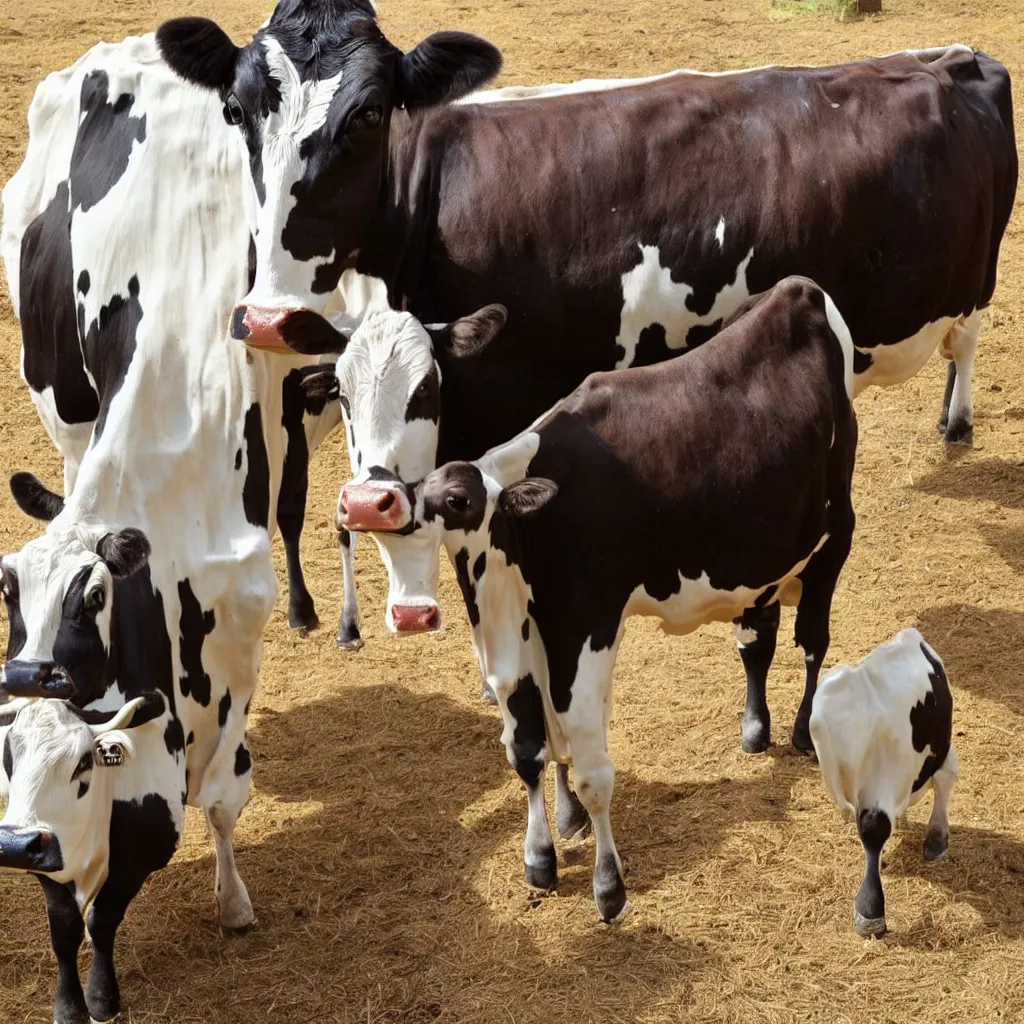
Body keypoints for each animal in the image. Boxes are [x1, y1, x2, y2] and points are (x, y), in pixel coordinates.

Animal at [0, 34, 321, 1024]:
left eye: (94, 594)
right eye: (7, 592)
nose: (26, 672)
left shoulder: (234, 639)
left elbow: (218, 799)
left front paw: (232, 898)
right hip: (60, 400)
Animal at [151, 2, 1015, 647]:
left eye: (367, 114)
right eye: (235, 109)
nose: (267, 314)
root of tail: (953, 58)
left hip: (978, 280)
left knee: (969, 337)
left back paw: (958, 421)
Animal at [374, 278, 856, 921]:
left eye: (457, 501)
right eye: (425, 489)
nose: (385, 505)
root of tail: (799, 290)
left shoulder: (584, 633)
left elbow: (592, 770)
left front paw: (609, 885)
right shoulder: (519, 654)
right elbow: (528, 750)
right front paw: (542, 856)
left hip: (835, 536)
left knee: (812, 639)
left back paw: (804, 731)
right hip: (761, 553)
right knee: (758, 636)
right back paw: (756, 727)